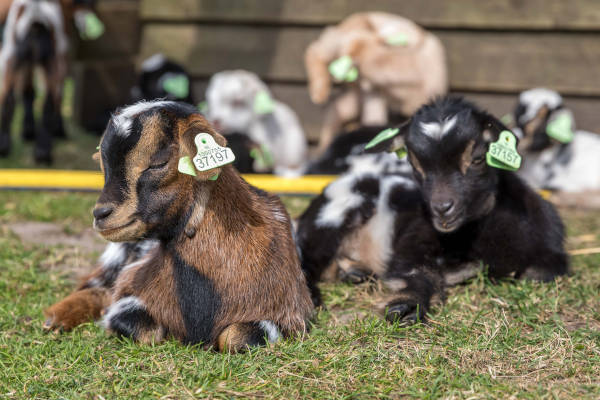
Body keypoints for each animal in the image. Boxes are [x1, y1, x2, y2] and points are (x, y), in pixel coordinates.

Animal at [44, 101, 312, 352]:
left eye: (158, 162)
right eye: (102, 166)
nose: (101, 214)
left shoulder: (292, 317)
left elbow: (235, 337)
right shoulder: (128, 297)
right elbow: (146, 330)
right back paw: (55, 318)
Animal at [298, 97, 568, 322]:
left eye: (478, 158)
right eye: (413, 163)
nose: (441, 208)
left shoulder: (551, 257)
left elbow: (536, 273)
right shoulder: (411, 246)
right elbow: (419, 273)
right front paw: (405, 306)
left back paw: (355, 273)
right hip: (334, 217)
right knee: (307, 258)